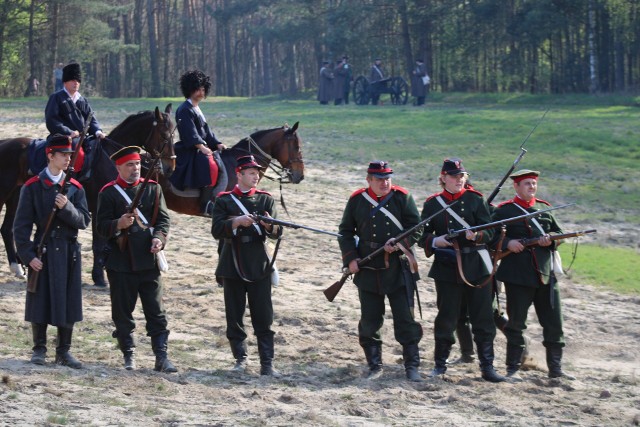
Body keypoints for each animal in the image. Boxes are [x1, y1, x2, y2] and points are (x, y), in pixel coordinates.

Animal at [0, 104, 175, 286]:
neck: (109, 157)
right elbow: (98, 243)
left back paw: (18, 267)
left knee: (7, 229)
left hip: (16, 197)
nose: (170, 168)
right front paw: (99, 277)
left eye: (173, 134)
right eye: (163, 135)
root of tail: (4, 142)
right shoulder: (99, 208)